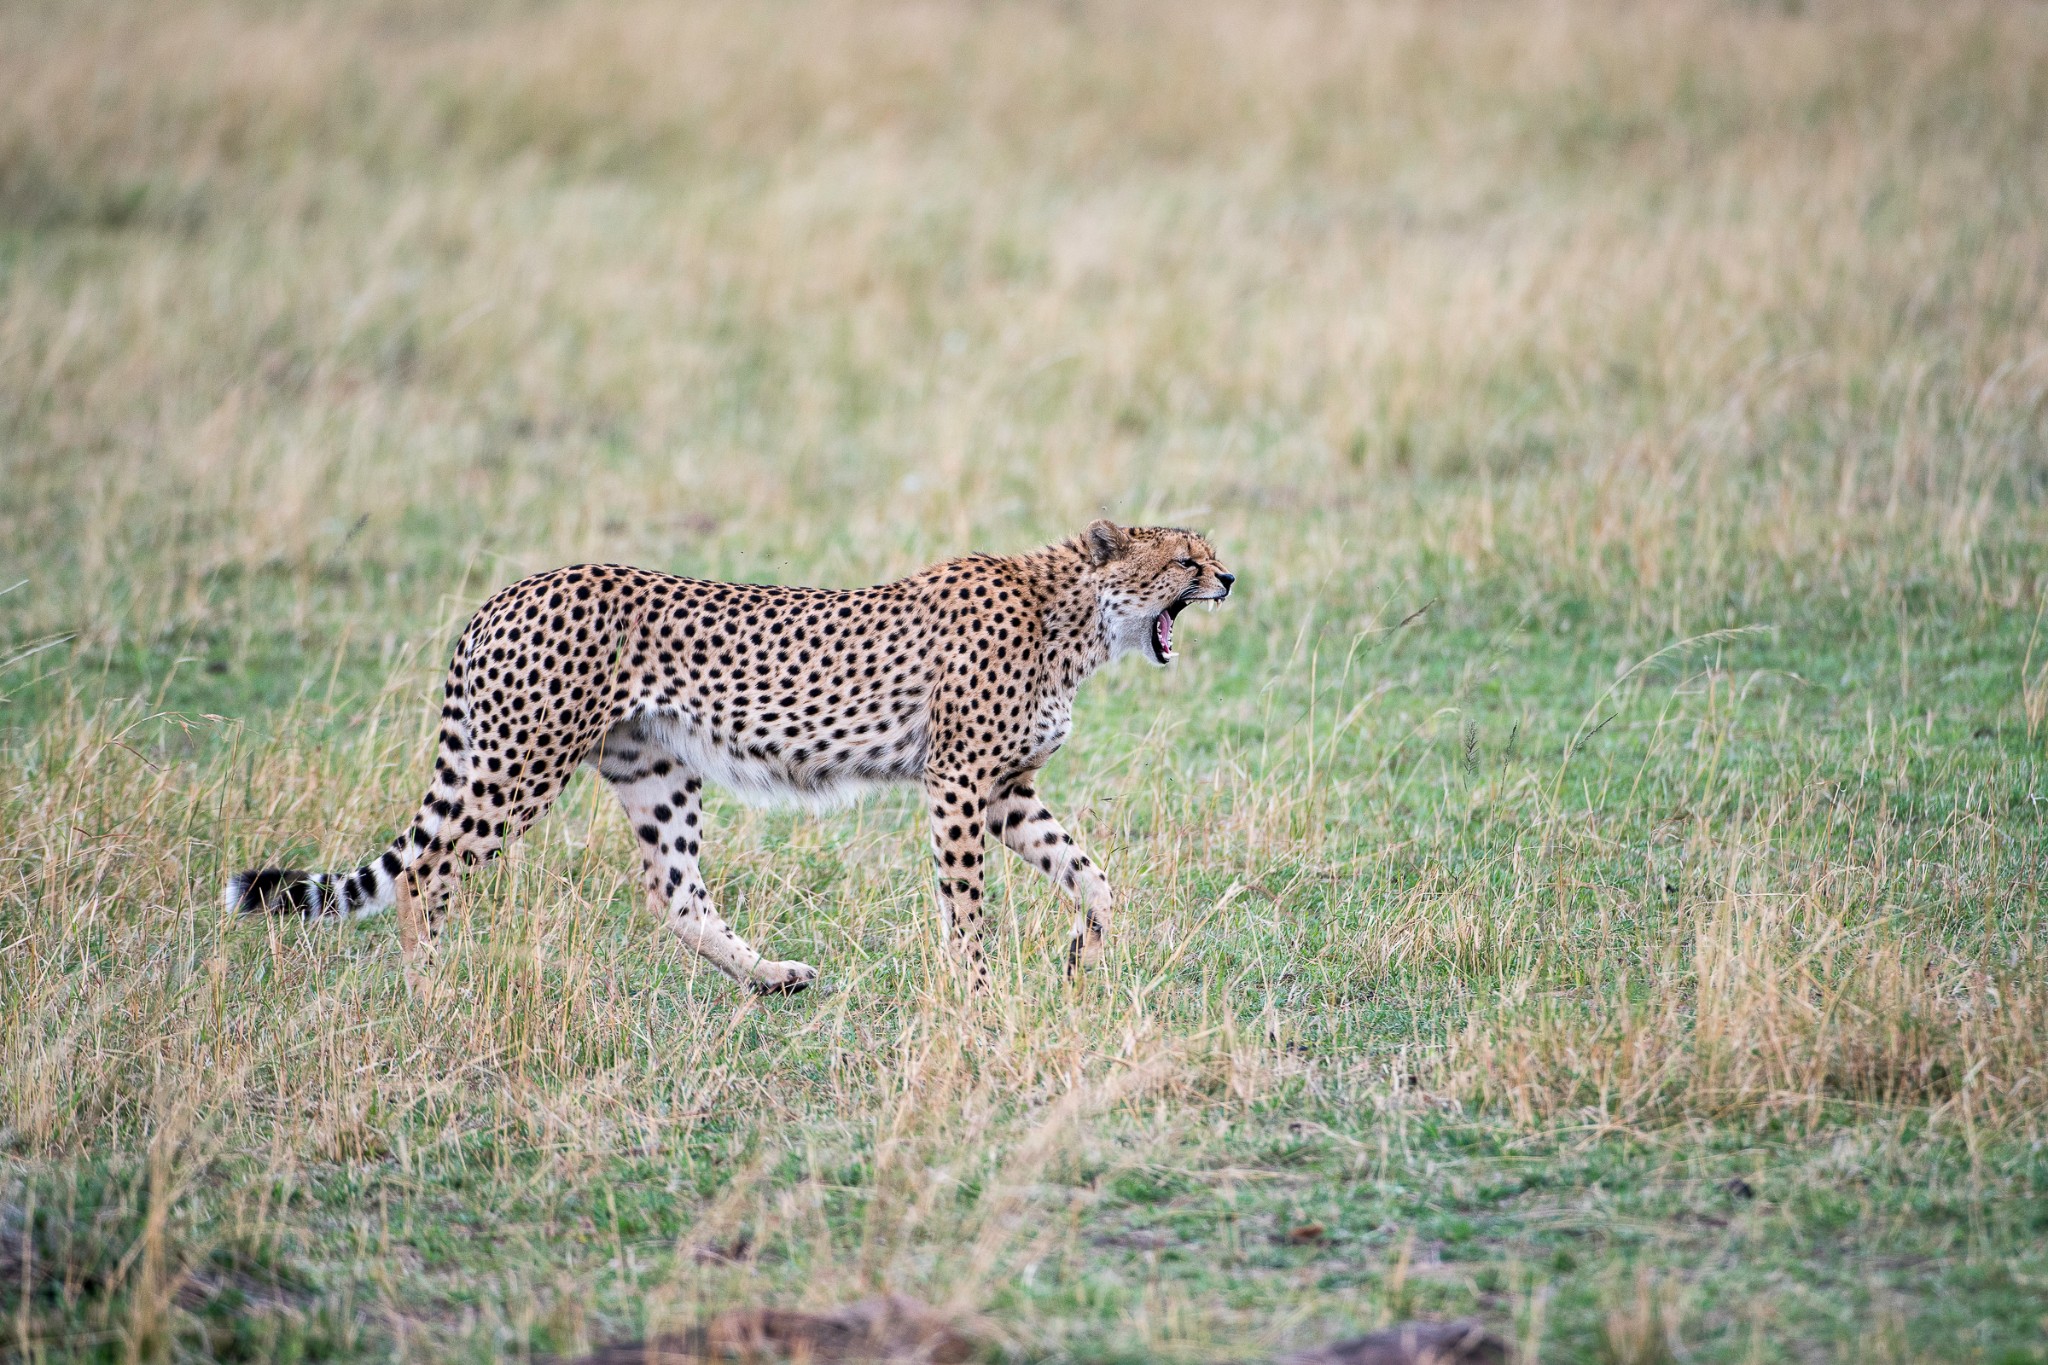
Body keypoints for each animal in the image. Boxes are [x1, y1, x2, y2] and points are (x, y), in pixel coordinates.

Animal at [232, 523, 1236, 994]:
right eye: (1186, 557)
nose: (1229, 577)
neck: (1074, 614)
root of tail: (507, 591)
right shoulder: (958, 783)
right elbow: (967, 905)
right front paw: (978, 995)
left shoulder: (1006, 789)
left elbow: (1094, 874)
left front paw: (1081, 954)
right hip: (522, 763)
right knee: (428, 870)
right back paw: (431, 989)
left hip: (653, 770)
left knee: (673, 894)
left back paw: (770, 977)